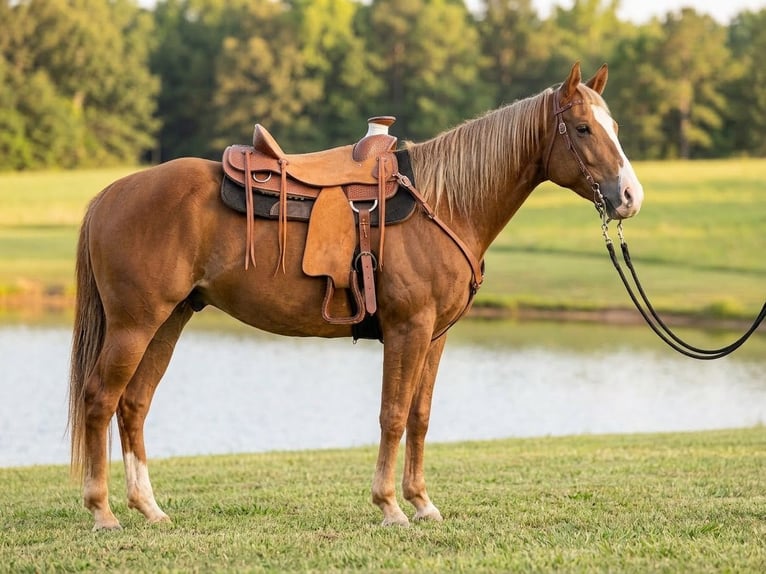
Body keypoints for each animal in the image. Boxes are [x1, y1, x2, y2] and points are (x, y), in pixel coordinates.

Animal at [68, 62, 643, 530]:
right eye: (583, 128)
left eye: (614, 127)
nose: (630, 197)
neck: (443, 204)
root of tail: (108, 195)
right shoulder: (408, 329)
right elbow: (392, 414)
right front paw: (390, 506)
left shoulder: (434, 336)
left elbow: (420, 416)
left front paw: (421, 502)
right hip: (135, 324)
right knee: (100, 399)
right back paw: (102, 511)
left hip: (168, 321)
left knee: (134, 404)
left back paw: (149, 508)